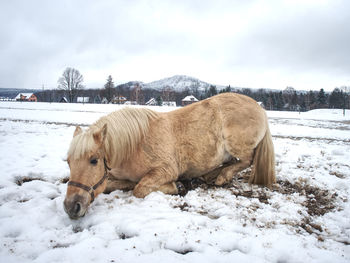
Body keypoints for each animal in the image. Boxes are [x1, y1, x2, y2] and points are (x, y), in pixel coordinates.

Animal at [63, 94, 276, 220]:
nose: (71, 207)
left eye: (94, 160)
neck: (135, 145)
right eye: (69, 162)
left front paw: (176, 186)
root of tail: (258, 107)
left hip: (237, 146)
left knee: (247, 160)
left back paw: (221, 177)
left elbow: (140, 188)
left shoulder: (166, 169)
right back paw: (210, 175)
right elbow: (113, 185)